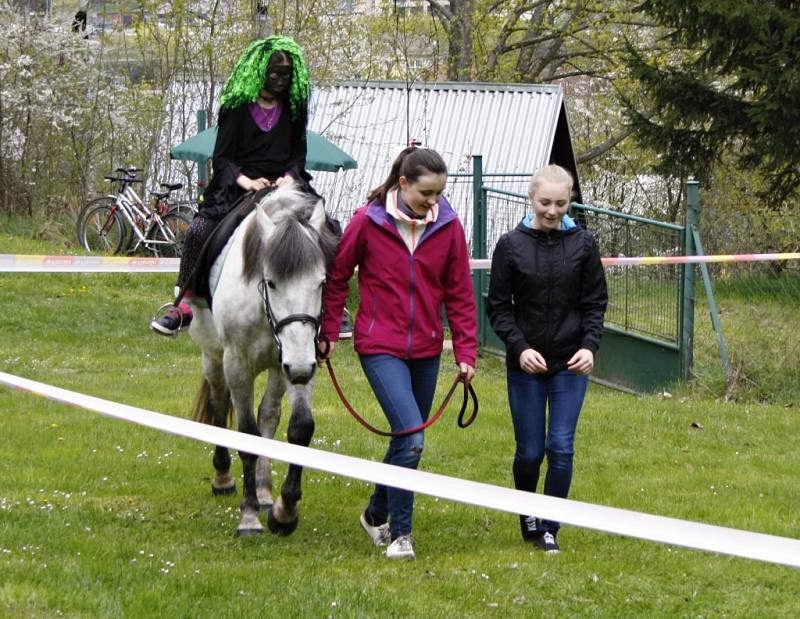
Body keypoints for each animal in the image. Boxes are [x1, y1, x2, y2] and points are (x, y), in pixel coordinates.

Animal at [192, 184, 340, 536]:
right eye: (271, 281)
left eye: (322, 281)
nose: (298, 369)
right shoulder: (238, 364)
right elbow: (246, 434)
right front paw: (248, 517)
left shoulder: (301, 361)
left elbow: (299, 428)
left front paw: (284, 512)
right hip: (213, 356)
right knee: (220, 405)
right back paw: (223, 478)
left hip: (278, 367)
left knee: (269, 415)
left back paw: (262, 492)